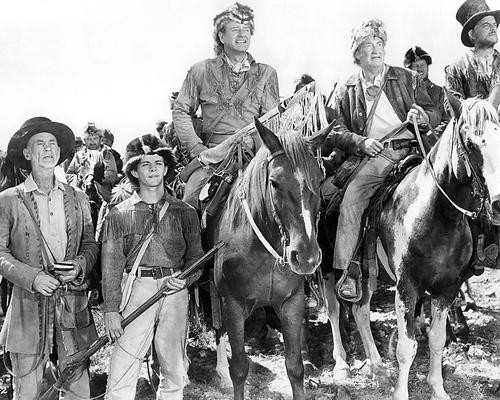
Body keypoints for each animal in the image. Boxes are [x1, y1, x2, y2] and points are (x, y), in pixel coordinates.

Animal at [207, 117, 332, 398]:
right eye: (274, 182)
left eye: (319, 180)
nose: (306, 257)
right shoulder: (233, 305)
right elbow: (239, 368)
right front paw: (230, 373)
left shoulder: (291, 303)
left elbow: (295, 368)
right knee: (218, 328)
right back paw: (219, 372)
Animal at [324, 94, 500, 400]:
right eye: (470, 144)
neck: (436, 216)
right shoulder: (407, 285)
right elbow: (407, 347)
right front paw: (401, 392)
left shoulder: (447, 288)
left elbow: (437, 340)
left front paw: (438, 389)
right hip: (327, 269)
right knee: (335, 311)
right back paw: (342, 365)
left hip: (367, 274)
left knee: (360, 311)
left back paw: (377, 369)